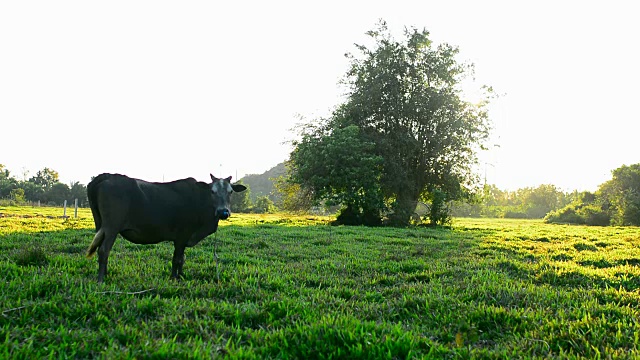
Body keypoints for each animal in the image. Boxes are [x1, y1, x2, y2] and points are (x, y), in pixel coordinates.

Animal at [85, 173, 245, 282]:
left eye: (230, 192)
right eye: (212, 191)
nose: (223, 212)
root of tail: (106, 176)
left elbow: (182, 258)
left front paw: (181, 275)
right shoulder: (182, 236)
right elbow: (177, 258)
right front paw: (174, 277)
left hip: (100, 226)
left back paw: (105, 274)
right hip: (111, 227)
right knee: (104, 250)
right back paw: (101, 279)